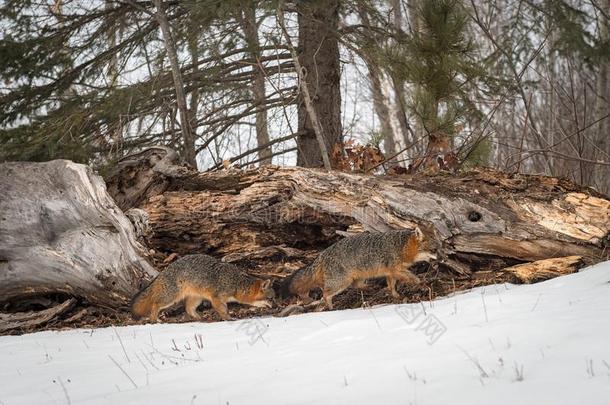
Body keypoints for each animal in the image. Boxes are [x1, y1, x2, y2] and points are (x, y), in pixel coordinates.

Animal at [133, 252, 276, 322]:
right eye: (271, 299)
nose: (277, 307)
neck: (236, 283)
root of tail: (163, 271)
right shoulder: (217, 298)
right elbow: (223, 310)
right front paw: (229, 318)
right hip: (171, 298)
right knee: (155, 304)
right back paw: (155, 320)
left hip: (197, 298)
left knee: (188, 309)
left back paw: (200, 318)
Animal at [278, 227, 434, 310]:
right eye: (433, 250)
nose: (440, 257)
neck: (401, 246)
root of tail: (322, 254)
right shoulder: (396, 270)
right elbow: (413, 277)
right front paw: (422, 284)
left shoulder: (391, 272)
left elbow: (391, 286)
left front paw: (395, 296)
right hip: (341, 282)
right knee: (325, 294)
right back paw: (331, 308)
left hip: (358, 277)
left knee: (356, 285)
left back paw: (370, 288)